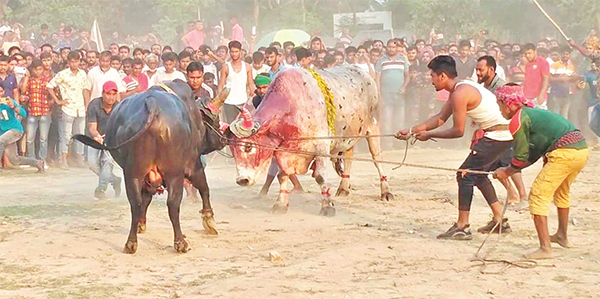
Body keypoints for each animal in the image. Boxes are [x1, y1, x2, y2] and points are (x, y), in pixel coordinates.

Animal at [72, 79, 226, 253]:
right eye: (215, 120)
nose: (222, 140)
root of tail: (152, 104)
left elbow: (145, 199)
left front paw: (141, 223)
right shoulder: (193, 165)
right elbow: (204, 188)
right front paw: (209, 221)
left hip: (133, 173)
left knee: (136, 203)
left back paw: (131, 243)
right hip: (174, 174)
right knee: (173, 204)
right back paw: (180, 242)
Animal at [230, 65, 394, 216]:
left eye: (248, 146)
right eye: (232, 149)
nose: (242, 180)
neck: (292, 106)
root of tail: (364, 73)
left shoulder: (321, 146)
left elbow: (320, 177)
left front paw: (327, 206)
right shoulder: (283, 151)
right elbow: (282, 176)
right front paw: (280, 204)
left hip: (372, 128)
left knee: (377, 158)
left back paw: (386, 191)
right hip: (349, 136)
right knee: (348, 156)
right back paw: (344, 187)